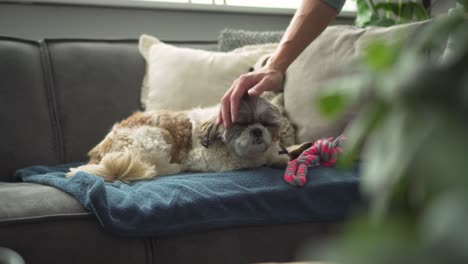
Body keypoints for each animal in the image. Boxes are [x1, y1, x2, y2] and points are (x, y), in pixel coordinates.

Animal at [67, 96, 290, 183]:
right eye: (242, 124)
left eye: (266, 124)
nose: (257, 131)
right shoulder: (204, 158)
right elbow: (244, 162)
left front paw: (279, 158)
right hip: (157, 137)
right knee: (155, 168)